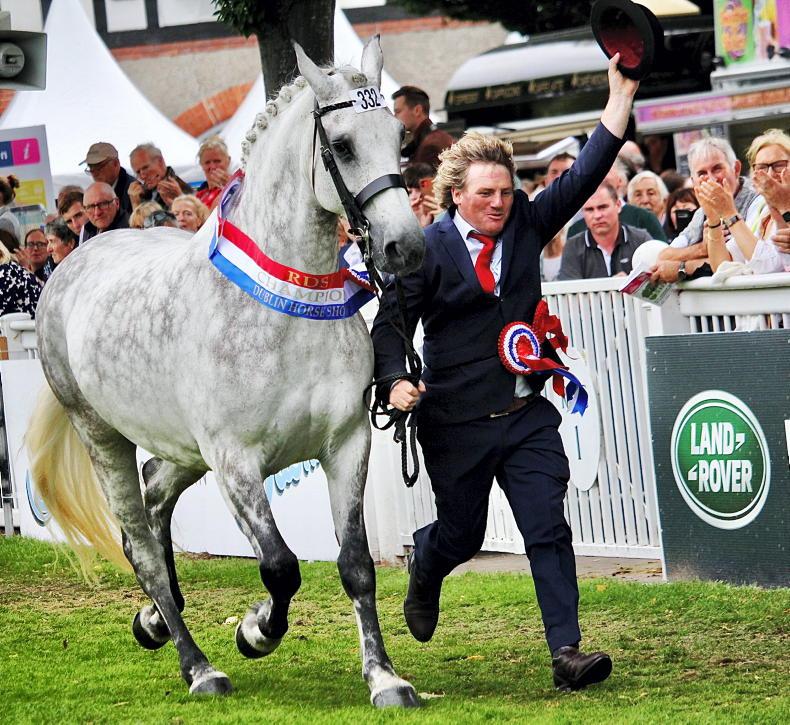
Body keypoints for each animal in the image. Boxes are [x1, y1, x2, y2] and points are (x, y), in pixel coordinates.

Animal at [26, 38, 424, 707]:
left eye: (400, 137)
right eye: (342, 145)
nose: (406, 247)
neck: (286, 308)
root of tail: (71, 263)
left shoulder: (346, 445)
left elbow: (356, 565)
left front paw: (385, 678)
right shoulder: (235, 461)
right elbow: (280, 566)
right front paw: (255, 630)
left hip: (182, 450)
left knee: (156, 498)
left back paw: (155, 620)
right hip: (104, 437)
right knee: (141, 545)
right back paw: (198, 666)